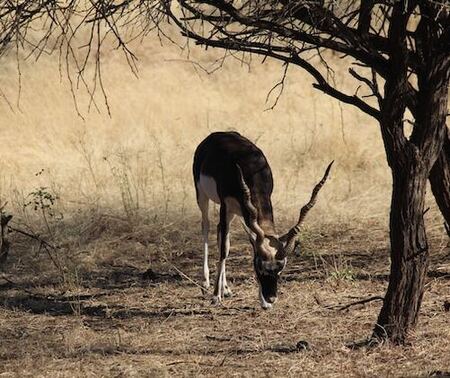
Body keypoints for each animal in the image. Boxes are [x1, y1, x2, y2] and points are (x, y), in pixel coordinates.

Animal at [193, 131, 334, 308]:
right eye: (260, 267)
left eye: (280, 270)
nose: (272, 298)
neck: (250, 169)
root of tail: (216, 135)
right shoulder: (225, 204)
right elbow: (224, 251)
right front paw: (215, 297)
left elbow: (236, 245)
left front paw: (263, 303)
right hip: (203, 196)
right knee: (206, 227)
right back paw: (206, 283)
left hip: (233, 212)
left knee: (220, 233)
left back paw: (226, 289)